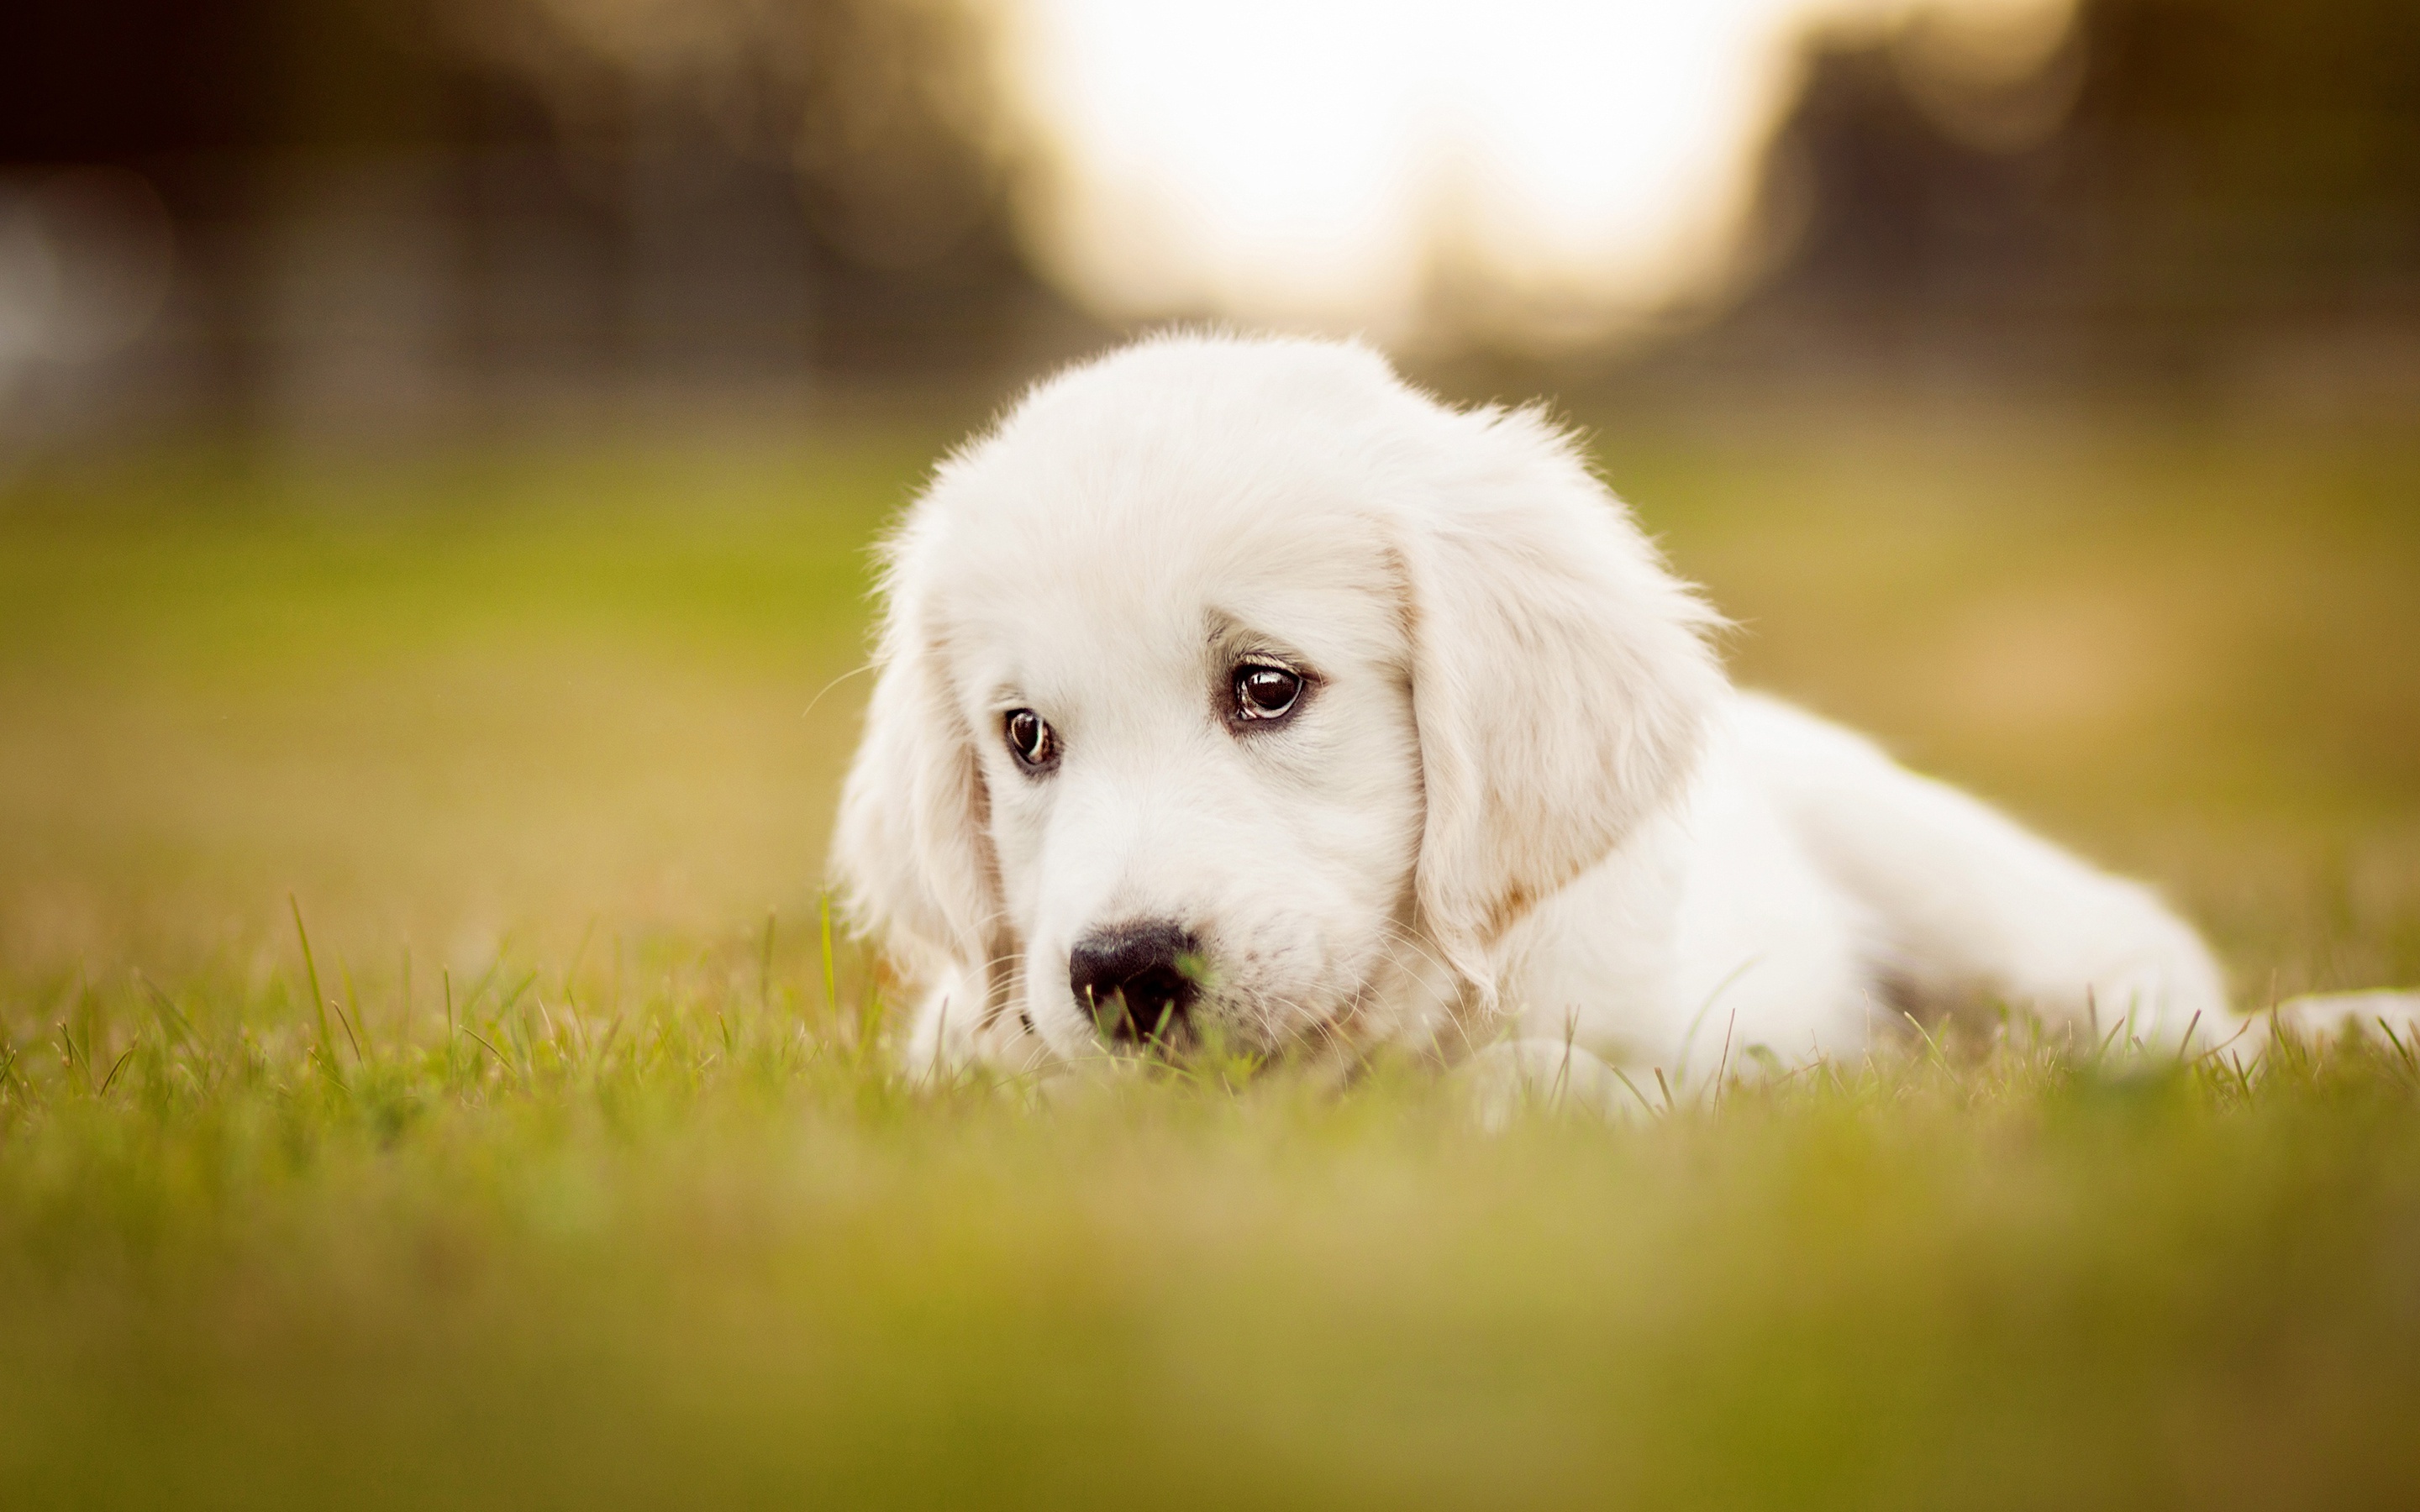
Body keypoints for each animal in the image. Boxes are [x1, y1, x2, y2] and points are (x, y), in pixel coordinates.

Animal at [832, 328, 2400, 1089]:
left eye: (1266, 687)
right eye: (1025, 739)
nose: (1122, 974)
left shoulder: (1697, 1036)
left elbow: (1543, 1079)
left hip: (1988, 902)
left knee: (2162, 1012)